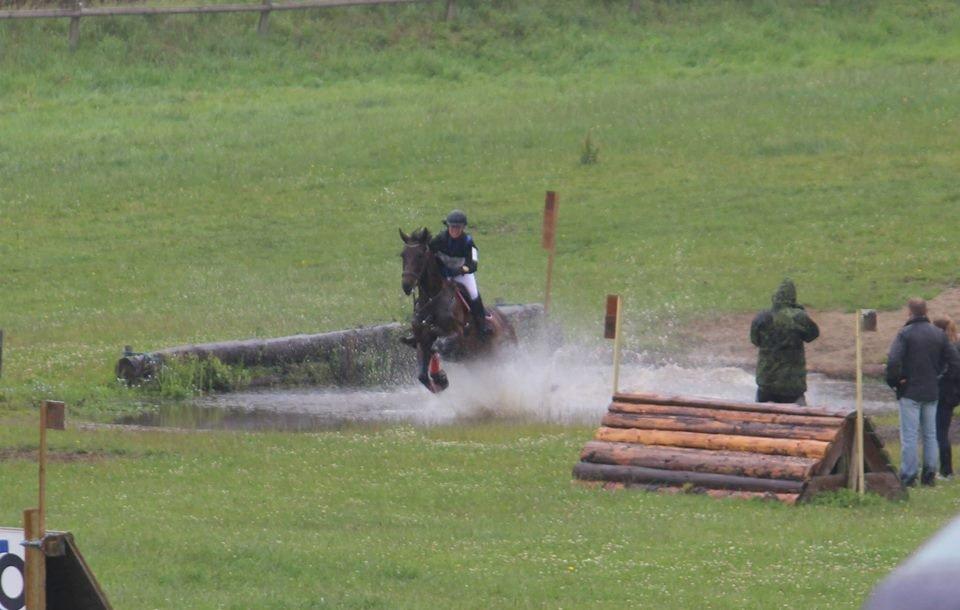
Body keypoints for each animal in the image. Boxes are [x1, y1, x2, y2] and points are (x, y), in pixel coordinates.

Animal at [398, 226, 516, 392]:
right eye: (403, 255)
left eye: (420, 255)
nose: (407, 286)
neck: (432, 299)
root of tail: (508, 324)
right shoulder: (422, 340)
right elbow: (423, 375)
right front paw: (440, 380)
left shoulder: (457, 335)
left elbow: (439, 343)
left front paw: (439, 376)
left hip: (501, 356)